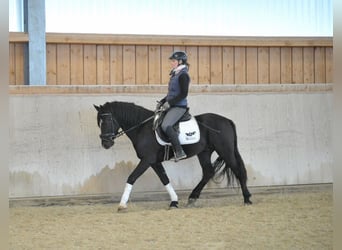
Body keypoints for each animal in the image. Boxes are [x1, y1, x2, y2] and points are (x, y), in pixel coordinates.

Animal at [93, 101, 251, 211]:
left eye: (107, 121)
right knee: (208, 172)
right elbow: (165, 179)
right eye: (99, 123)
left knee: (238, 171)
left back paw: (247, 199)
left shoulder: (147, 160)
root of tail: (227, 121)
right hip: (204, 152)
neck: (142, 128)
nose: (106, 143)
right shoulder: (154, 162)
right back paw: (192, 198)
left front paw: (122, 204)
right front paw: (174, 202)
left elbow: (132, 177)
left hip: (225, 150)